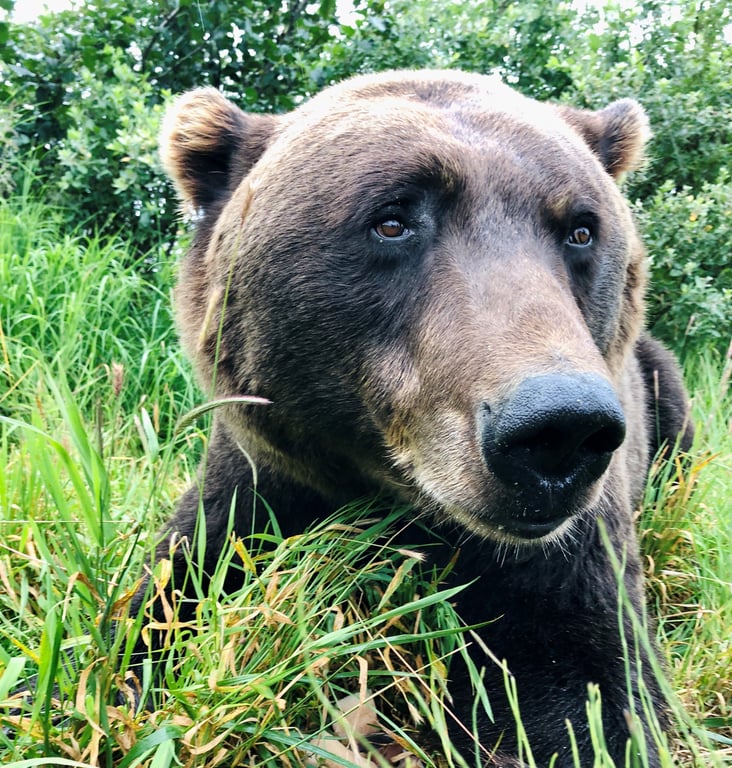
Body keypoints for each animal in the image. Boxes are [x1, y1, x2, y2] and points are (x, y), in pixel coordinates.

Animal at [140, 69, 693, 767]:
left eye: (580, 230)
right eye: (392, 220)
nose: (557, 429)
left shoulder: (569, 545)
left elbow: (597, 692)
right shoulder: (261, 475)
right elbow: (167, 596)